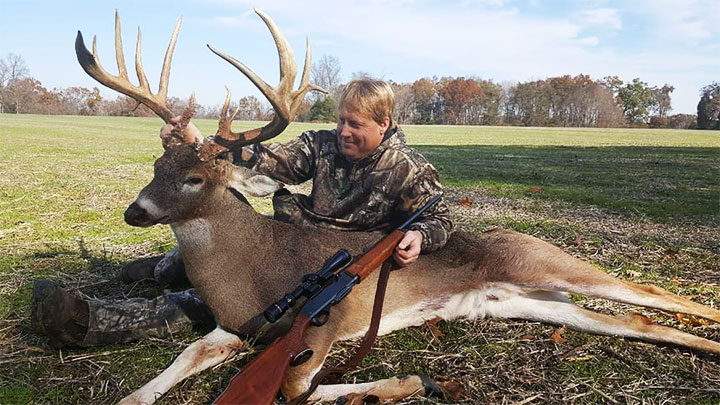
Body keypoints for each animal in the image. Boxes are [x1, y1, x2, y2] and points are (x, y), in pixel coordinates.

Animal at [73, 9, 720, 404]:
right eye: (155, 166)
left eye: (194, 176)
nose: (135, 212)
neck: (245, 271)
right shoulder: (236, 328)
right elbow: (174, 364)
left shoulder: (330, 323)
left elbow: (294, 389)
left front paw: (406, 383)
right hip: (528, 302)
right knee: (638, 323)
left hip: (547, 261)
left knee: (657, 295)